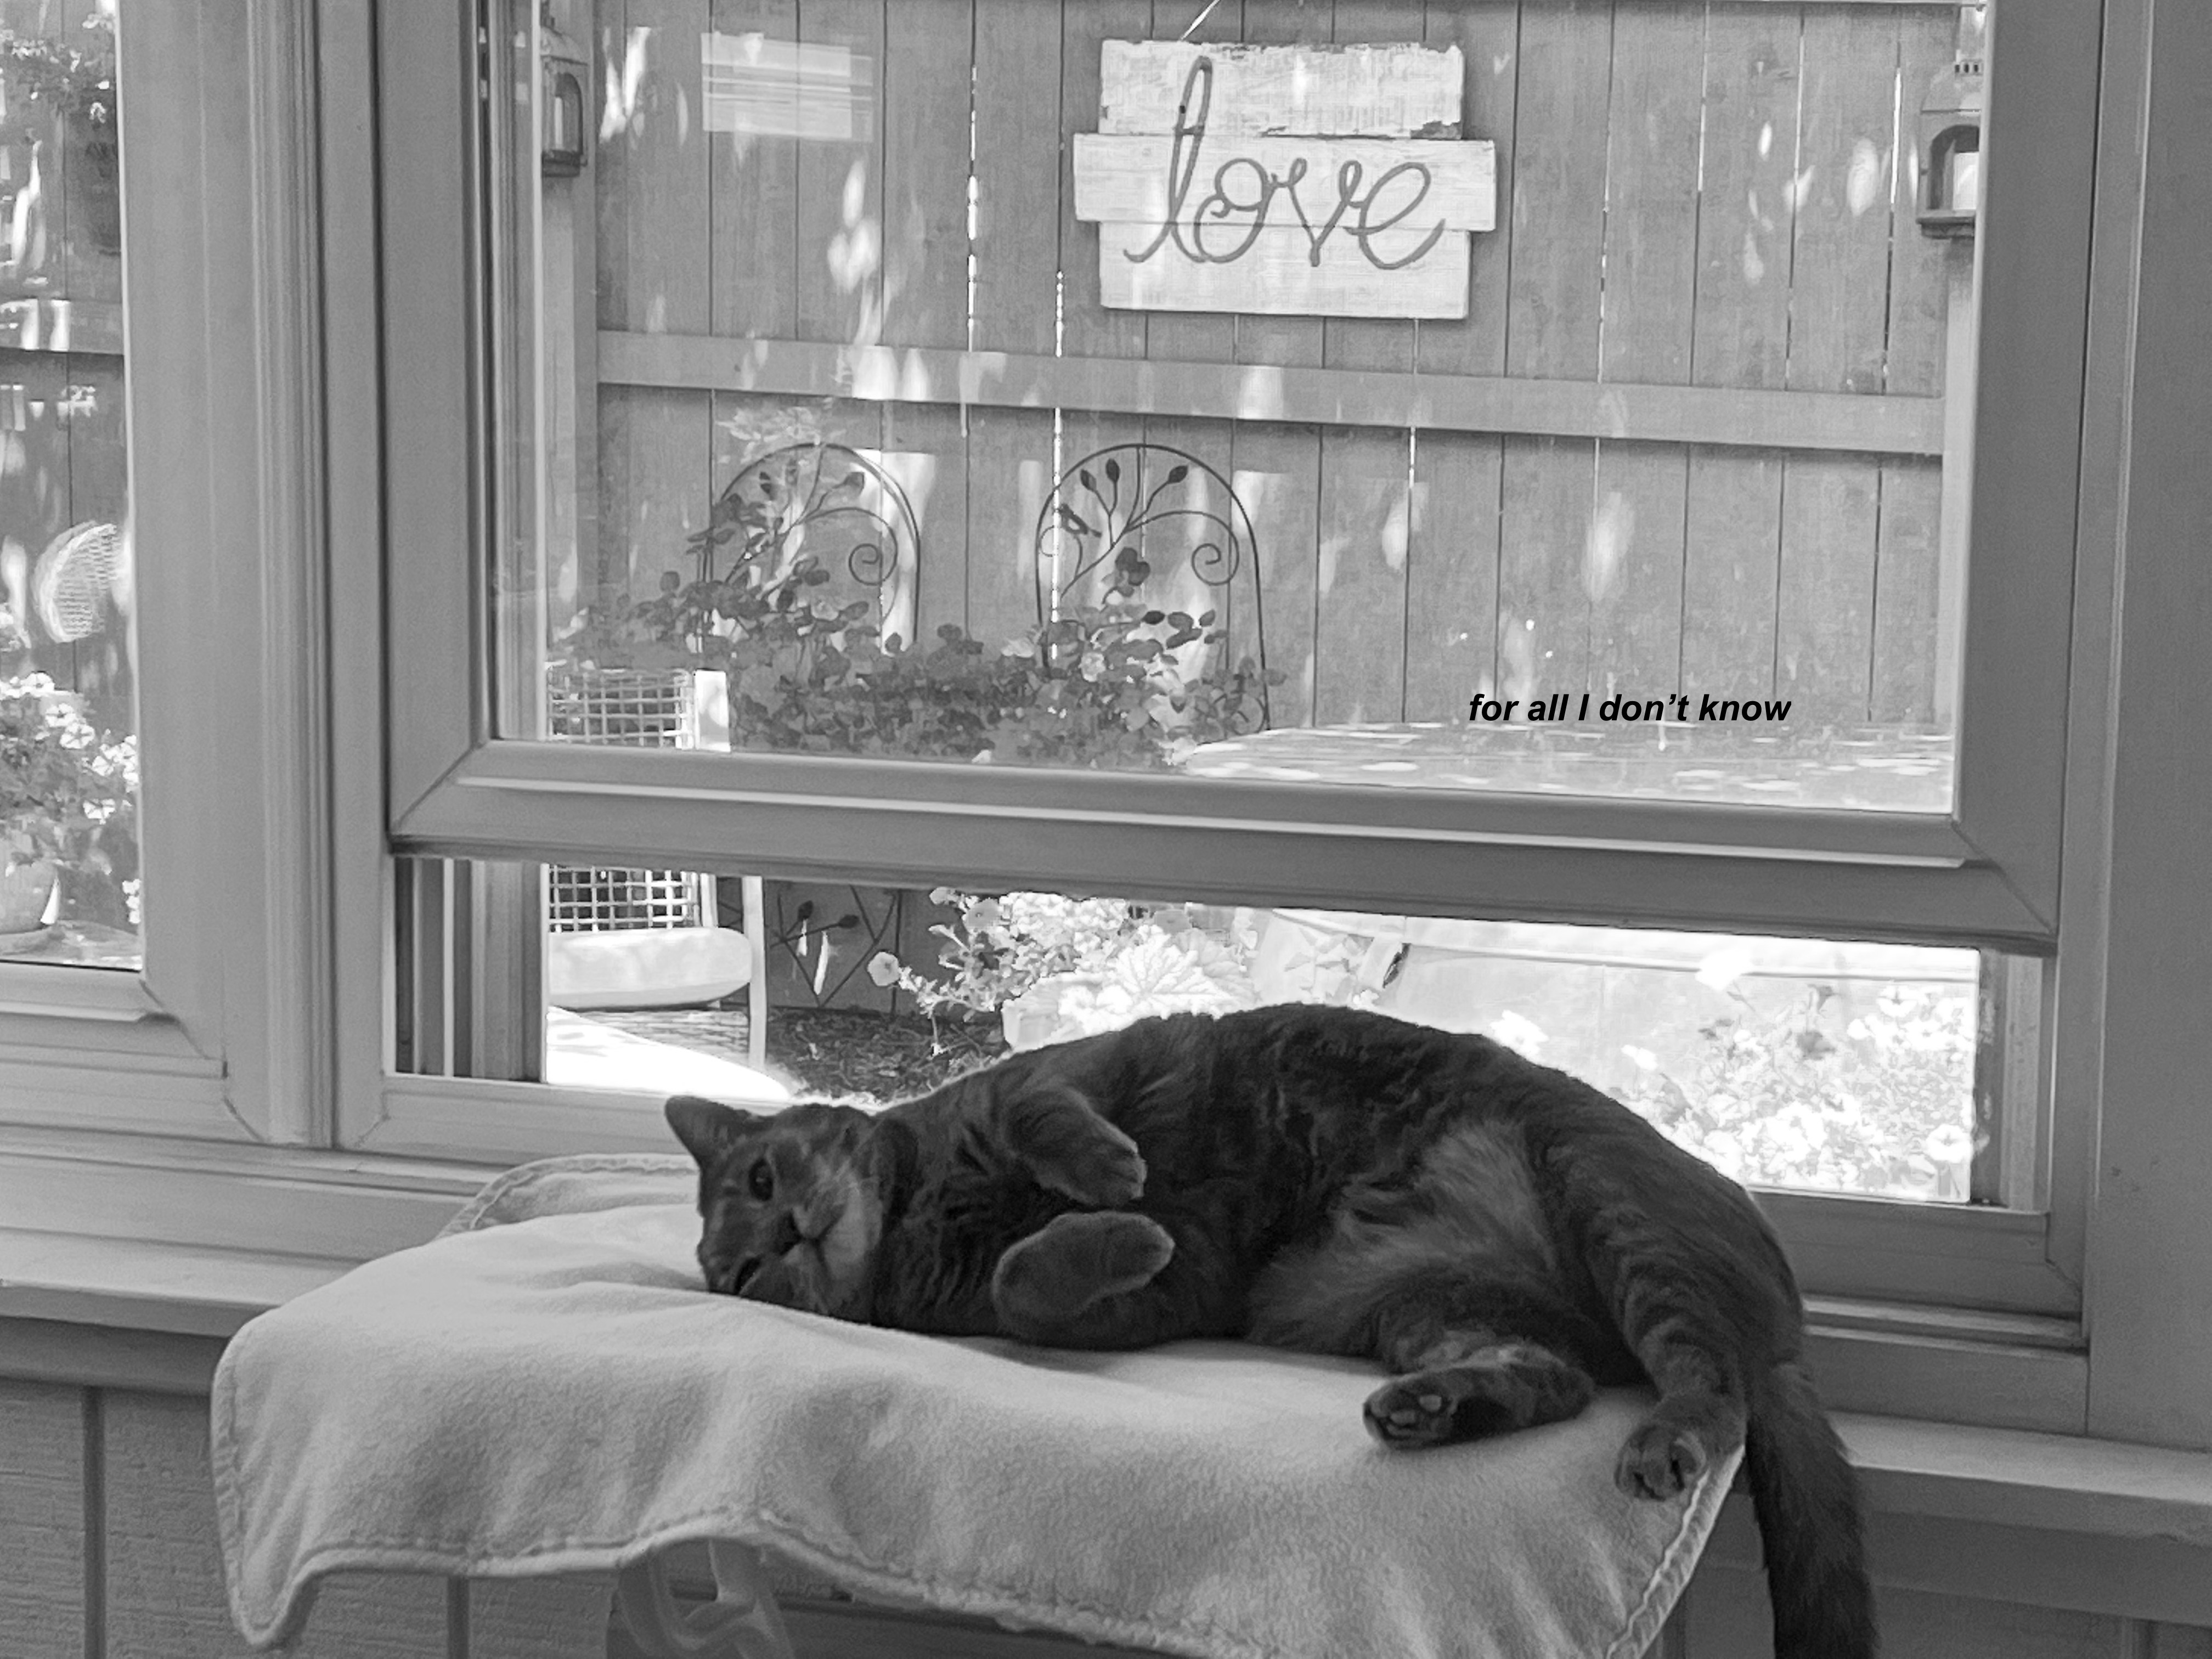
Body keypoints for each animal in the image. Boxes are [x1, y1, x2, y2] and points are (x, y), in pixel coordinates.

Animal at [666, 1003, 1875, 1659]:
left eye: (763, 1173)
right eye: (742, 1268)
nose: (786, 1234)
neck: (922, 1208)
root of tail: (1787, 1330)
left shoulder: (1062, 1072)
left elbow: (1038, 1113)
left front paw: (1108, 1176)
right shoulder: (1167, 1294)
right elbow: (1023, 1285)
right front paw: (1112, 1234)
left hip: (1608, 1202)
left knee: (1710, 1383)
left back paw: (1664, 1435)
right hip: (1428, 1304)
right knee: (1562, 1378)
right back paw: (1432, 1407)